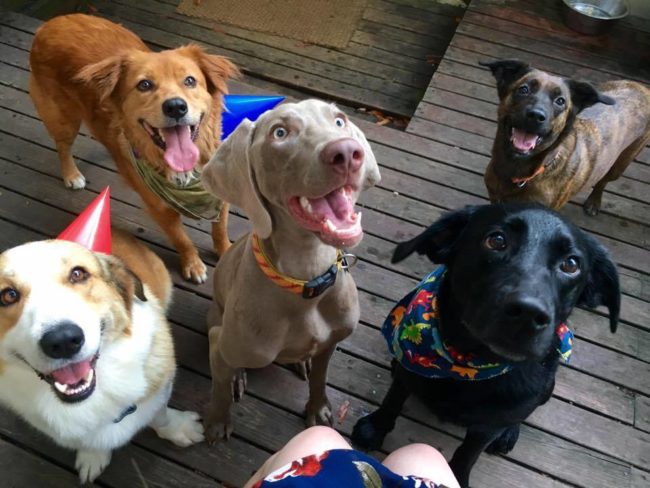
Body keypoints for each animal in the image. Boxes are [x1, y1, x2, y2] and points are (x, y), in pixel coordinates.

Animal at [0, 231, 201, 482]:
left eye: (78, 274)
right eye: (7, 296)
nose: (63, 341)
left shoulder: (160, 392)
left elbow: (160, 416)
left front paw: (180, 429)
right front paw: (93, 457)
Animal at [29, 14, 239, 282]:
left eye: (190, 81)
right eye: (144, 85)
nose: (175, 107)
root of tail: (50, 23)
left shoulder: (219, 193)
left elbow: (220, 230)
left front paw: (227, 251)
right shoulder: (160, 210)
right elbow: (182, 239)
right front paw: (193, 263)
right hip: (61, 118)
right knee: (62, 146)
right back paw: (71, 174)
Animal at [200, 98, 378, 438]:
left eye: (340, 121)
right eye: (280, 133)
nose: (347, 152)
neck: (306, 278)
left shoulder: (330, 344)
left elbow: (320, 379)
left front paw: (318, 410)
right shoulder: (218, 344)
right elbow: (218, 388)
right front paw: (216, 421)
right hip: (216, 316)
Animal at [350, 204, 616, 488]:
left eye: (571, 264)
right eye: (496, 240)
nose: (528, 312)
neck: (468, 364)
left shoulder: (488, 425)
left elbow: (469, 452)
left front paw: (458, 475)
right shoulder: (407, 370)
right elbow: (393, 400)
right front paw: (375, 428)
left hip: (547, 388)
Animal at [478, 59, 648, 214]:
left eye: (560, 101)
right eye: (523, 89)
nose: (536, 116)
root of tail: (643, 88)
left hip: (619, 165)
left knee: (603, 181)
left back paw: (594, 201)